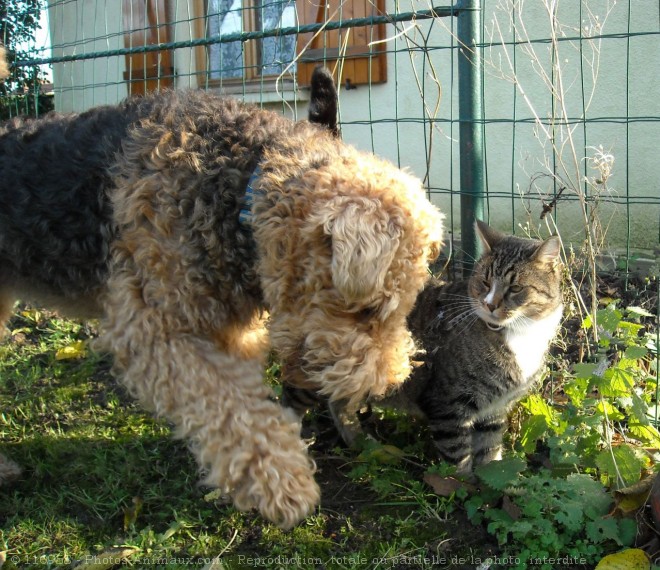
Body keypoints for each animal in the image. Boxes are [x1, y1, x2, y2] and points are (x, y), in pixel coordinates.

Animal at [1, 83, 444, 524]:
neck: (241, 188)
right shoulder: (157, 331)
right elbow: (231, 409)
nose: (383, 387)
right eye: (369, 310)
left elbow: (246, 407)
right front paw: (286, 486)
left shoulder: (227, 333)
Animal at [282, 220, 564, 472]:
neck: (520, 334)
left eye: (515, 288)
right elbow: (457, 455)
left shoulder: (494, 410)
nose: (490, 304)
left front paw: (489, 483)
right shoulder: (448, 403)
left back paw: (362, 443)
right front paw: (462, 485)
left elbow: (490, 452)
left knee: (339, 403)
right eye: (484, 282)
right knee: (291, 397)